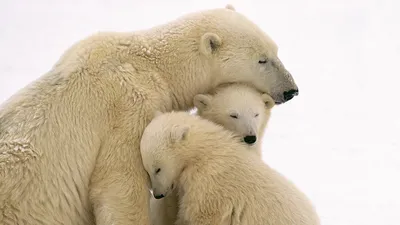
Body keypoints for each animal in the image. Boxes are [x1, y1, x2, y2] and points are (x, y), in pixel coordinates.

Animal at [141, 112, 318, 225]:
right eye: (147, 170)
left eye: (157, 169)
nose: (158, 194)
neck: (204, 152)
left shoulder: (210, 184)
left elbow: (200, 215)